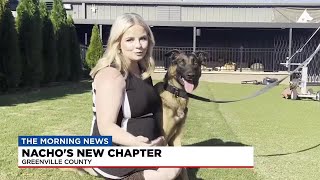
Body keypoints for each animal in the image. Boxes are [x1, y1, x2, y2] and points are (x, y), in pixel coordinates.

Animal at [154, 49, 205, 180]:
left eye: (195, 63)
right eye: (181, 62)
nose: (190, 75)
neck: (176, 93)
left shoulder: (176, 138)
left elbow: (183, 168)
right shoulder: (163, 138)